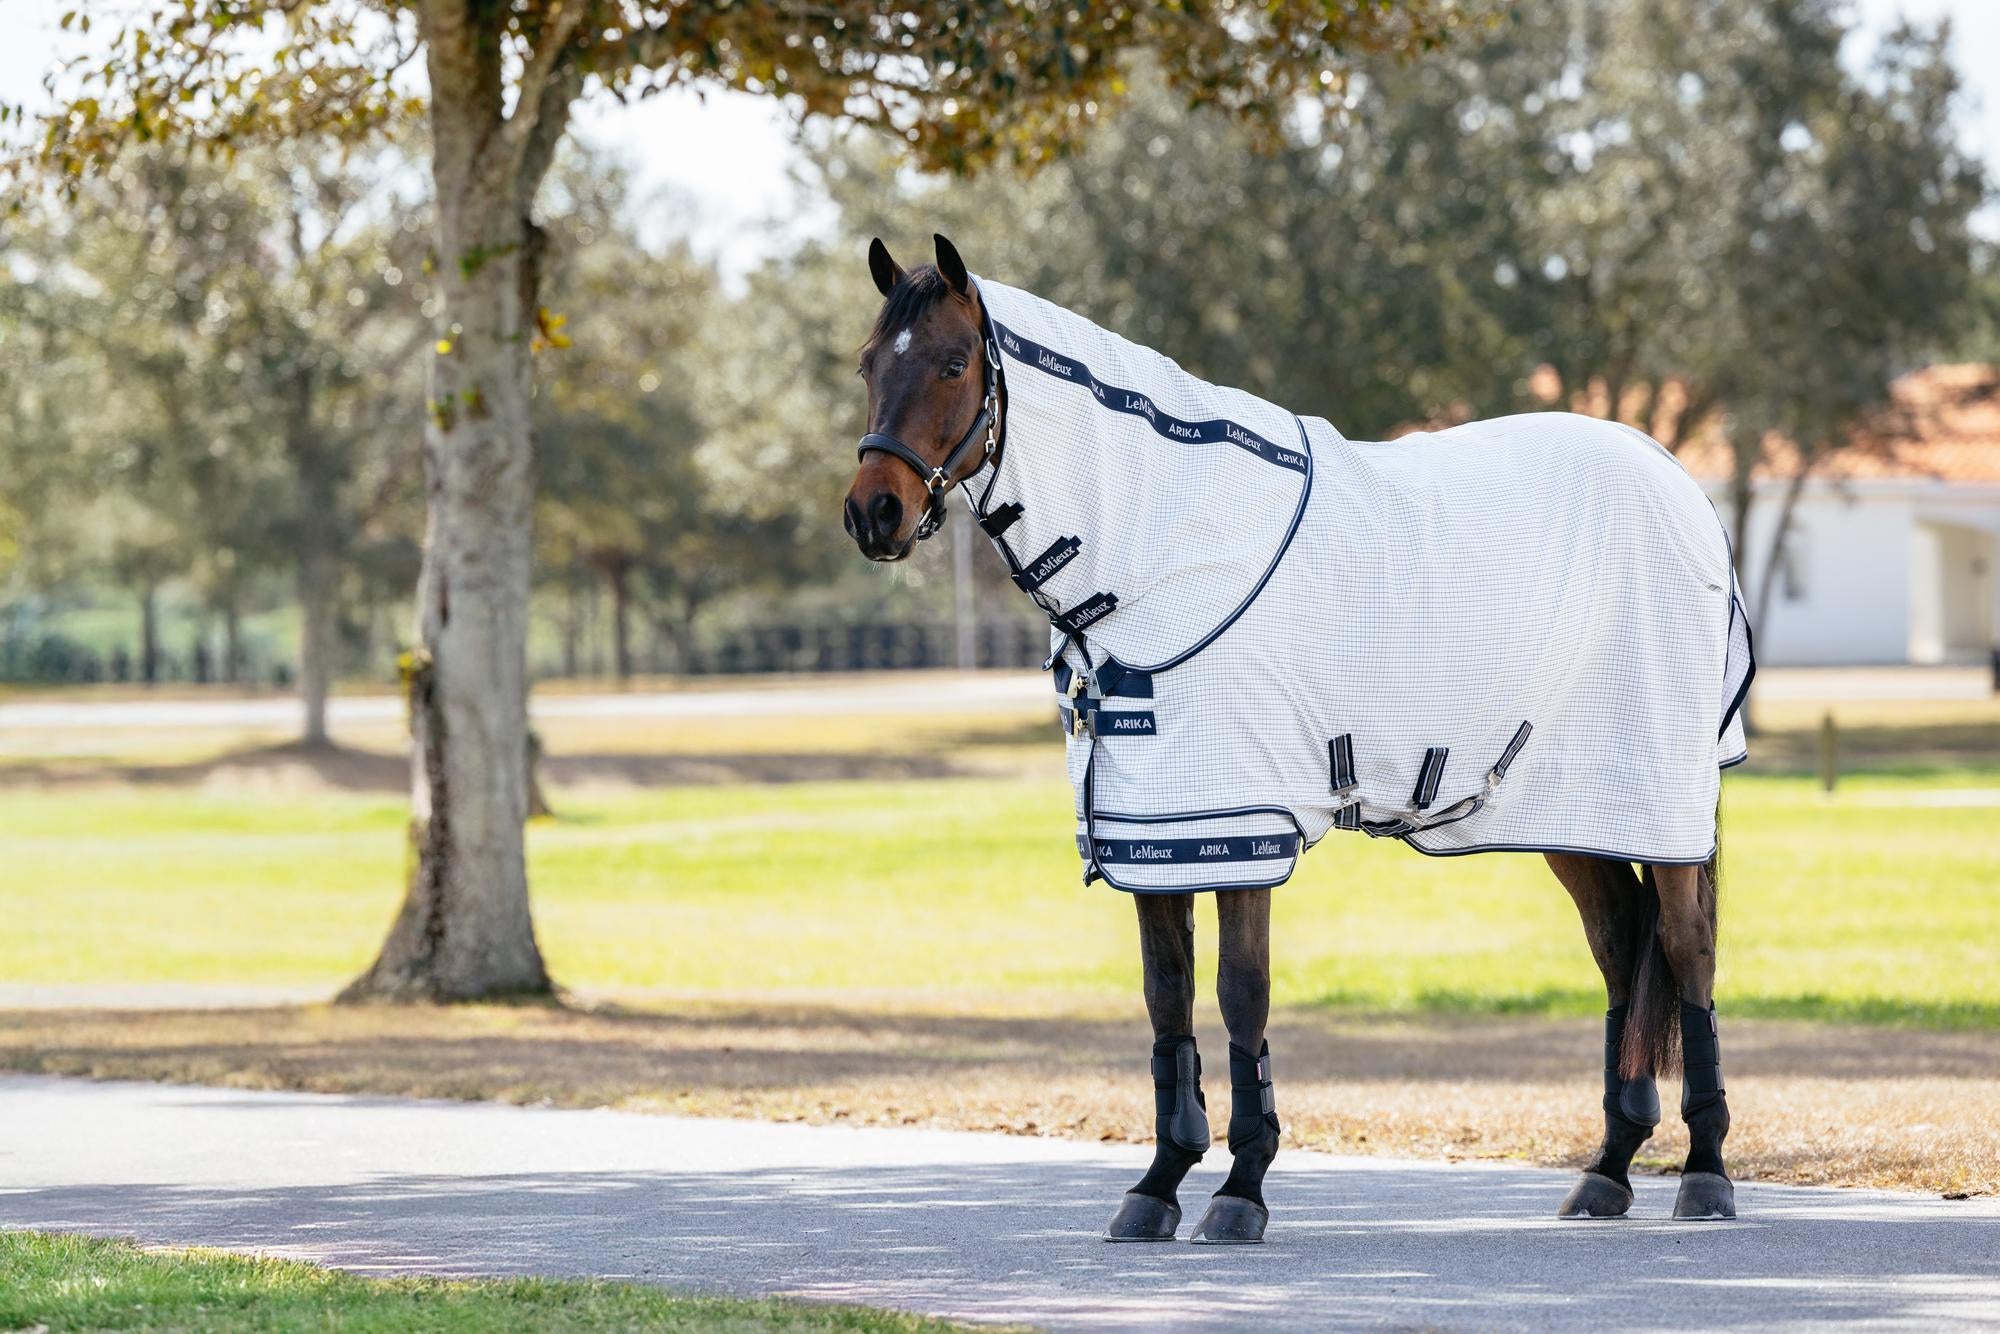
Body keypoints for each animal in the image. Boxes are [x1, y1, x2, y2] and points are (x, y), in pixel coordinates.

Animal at [843, 233, 1748, 1244]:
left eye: (954, 362)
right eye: (869, 364)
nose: (873, 512)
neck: (1167, 551)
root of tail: (1675, 481)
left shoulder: (1244, 823)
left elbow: (1242, 993)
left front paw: (1240, 1187)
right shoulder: (1154, 830)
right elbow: (1166, 997)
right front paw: (1157, 1183)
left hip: (1663, 802)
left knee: (1687, 950)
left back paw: (1705, 1172)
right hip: (1572, 809)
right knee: (1622, 949)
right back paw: (1608, 1169)